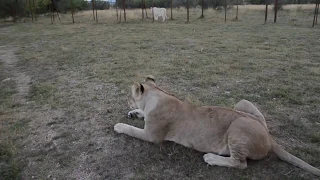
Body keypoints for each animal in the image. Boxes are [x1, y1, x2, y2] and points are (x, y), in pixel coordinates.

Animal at [114, 75, 320, 176]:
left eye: (129, 95)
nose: (126, 101)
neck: (157, 96)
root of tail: (270, 138)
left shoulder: (152, 135)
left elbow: (131, 129)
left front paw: (119, 125)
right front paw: (135, 113)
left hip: (238, 126)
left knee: (240, 163)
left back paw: (211, 158)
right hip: (243, 104)